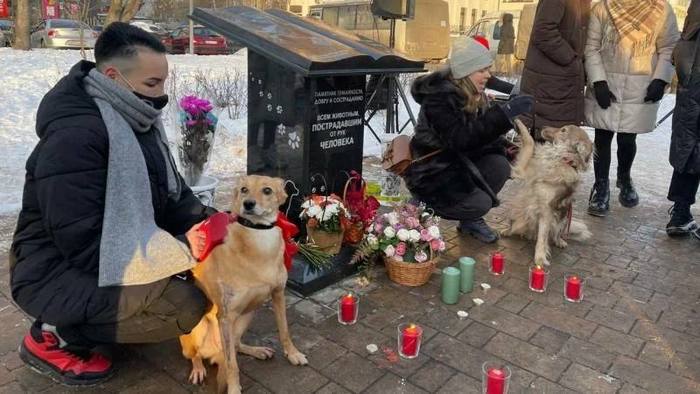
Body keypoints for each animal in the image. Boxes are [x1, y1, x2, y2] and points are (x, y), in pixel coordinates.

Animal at [180, 176, 308, 394]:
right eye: (244, 190)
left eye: (267, 190)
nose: (248, 204)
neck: (260, 241)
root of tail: (214, 353)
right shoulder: (225, 317)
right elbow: (232, 365)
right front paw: (233, 389)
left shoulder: (278, 294)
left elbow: (284, 330)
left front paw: (293, 354)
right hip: (196, 331)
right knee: (198, 355)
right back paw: (198, 369)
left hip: (248, 314)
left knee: (237, 345)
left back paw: (257, 351)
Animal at [500, 119, 592, 264]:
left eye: (563, 130)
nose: (542, 126)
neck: (560, 159)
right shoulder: (523, 170)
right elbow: (530, 141)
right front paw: (519, 123)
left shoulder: (547, 211)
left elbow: (542, 238)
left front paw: (540, 258)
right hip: (517, 210)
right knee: (514, 226)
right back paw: (507, 231)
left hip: (564, 218)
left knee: (555, 234)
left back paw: (560, 241)